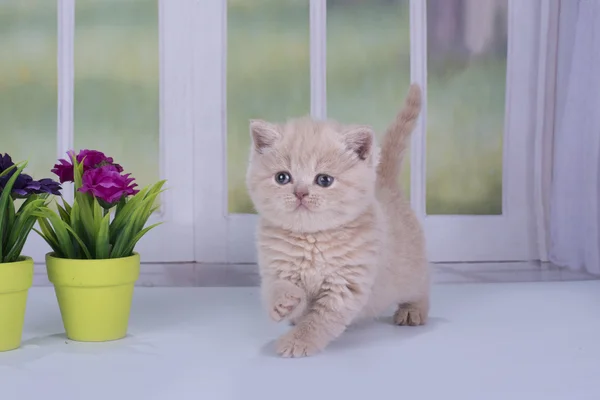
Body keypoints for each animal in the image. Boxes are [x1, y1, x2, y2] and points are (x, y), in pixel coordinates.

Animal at [246, 83, 428, 356]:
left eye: (324, 180)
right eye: (282, 177)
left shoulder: (345, 286)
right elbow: (278, 290)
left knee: (422, 286)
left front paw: (297, 342)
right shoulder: (277, 268)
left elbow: (318, 321)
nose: (300, 193)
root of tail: (384, 183)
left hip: (410, 270)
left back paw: (413, 310)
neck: (311, 240)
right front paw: (284, 303)